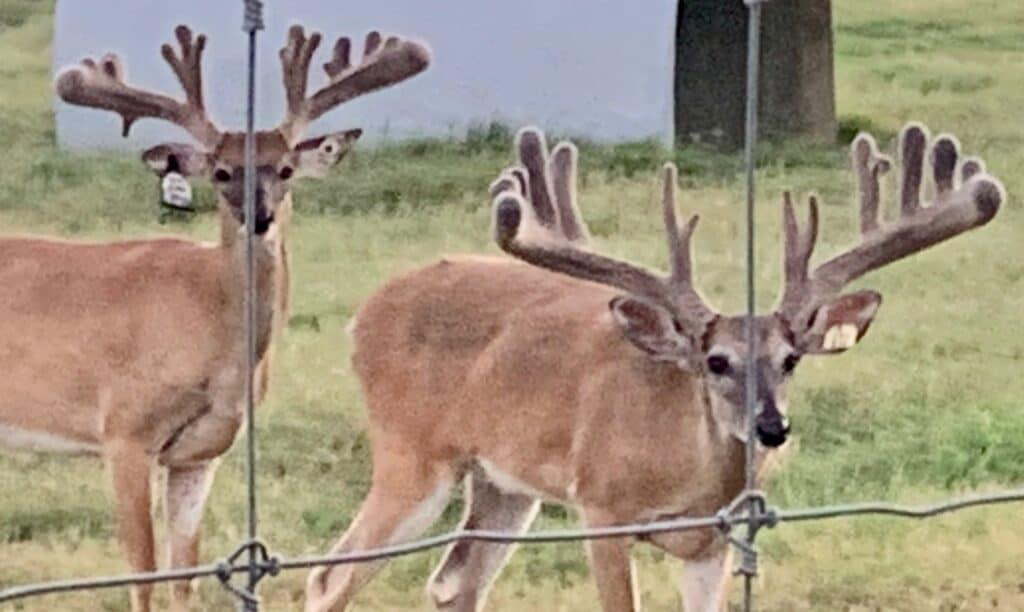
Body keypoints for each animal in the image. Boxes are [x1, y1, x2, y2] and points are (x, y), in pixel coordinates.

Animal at [0, 24, 429, 612]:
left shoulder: (203, 452)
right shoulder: (124, 430)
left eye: (286, 168)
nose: (259, 215)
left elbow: (186, 574)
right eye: (223, 170)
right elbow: (142, 572)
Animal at [303, 122, 1004, 612]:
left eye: (790, 360)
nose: (772, 427)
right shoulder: (601, 506)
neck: (688, 479)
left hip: (504, 482)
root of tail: (363, 315)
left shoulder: (715, 541)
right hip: (411, 452)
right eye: (715, 361)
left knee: (453, 581)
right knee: (331, 574)